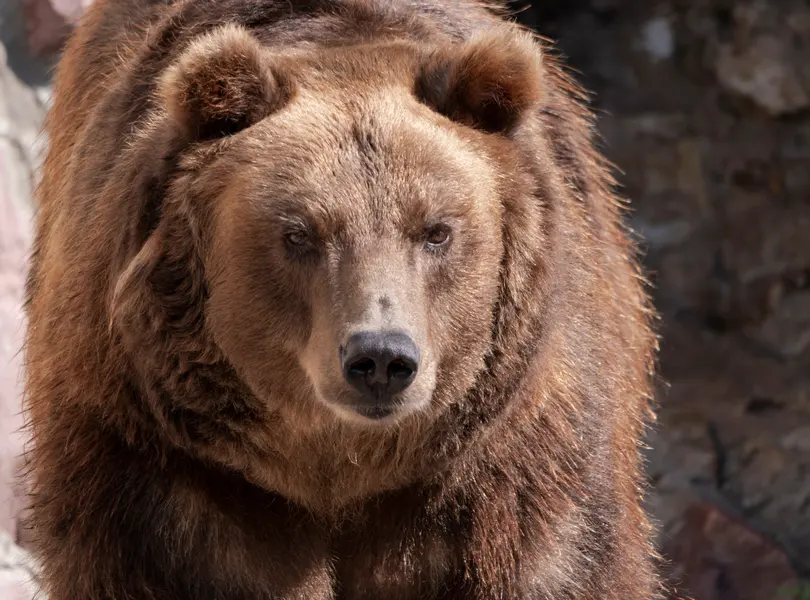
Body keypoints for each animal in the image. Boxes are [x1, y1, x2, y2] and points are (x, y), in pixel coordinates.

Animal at [24, 0, 660, 598]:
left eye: (436, 230)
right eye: (299, 234)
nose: (380, 358)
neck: (339, 468)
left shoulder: (510, 470)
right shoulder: (160, 464)